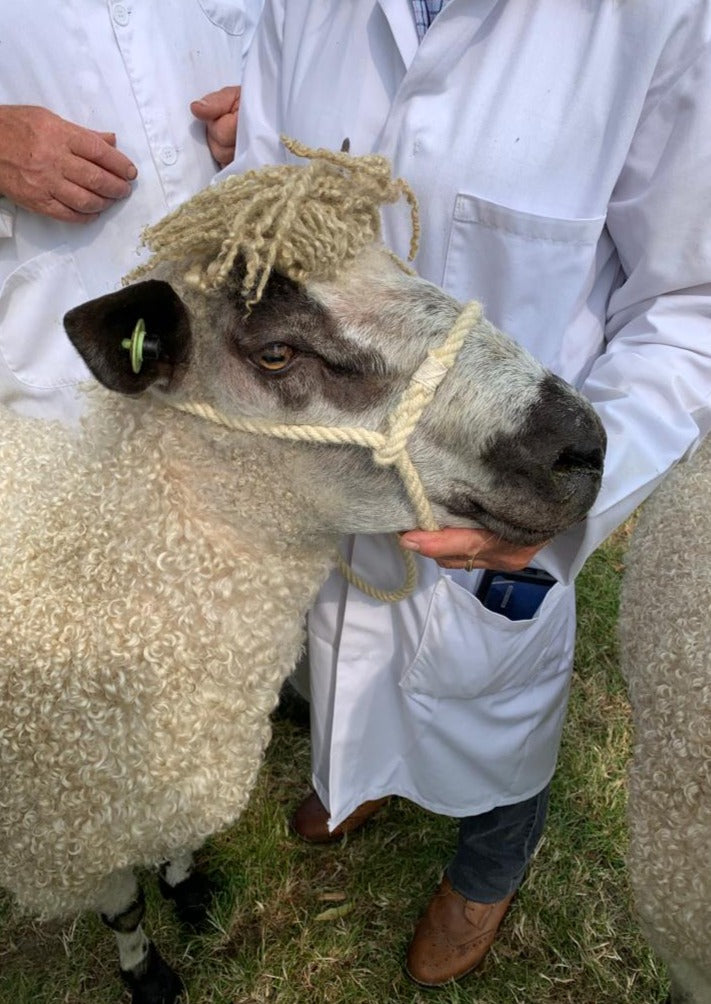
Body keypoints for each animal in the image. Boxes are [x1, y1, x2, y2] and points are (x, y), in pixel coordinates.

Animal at [0, 139, 606, 1004]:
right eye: (276, 351)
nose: (580, 445)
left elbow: (176, 854)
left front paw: (193, 892)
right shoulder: (68, 833)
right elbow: (124, 909)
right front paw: (148, 972)